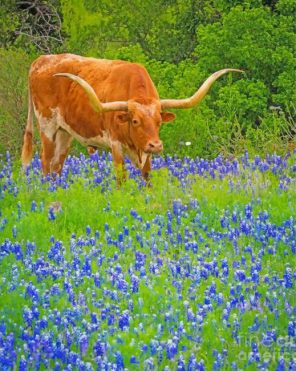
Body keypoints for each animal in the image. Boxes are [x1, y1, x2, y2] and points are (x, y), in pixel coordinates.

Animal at [21, 53, 243, 184]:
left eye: (159, 122)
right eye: (135, 121)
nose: (156, 145)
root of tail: (40, 60)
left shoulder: (145, 150)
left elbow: (146, 175)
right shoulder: (115, 144)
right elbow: (122, 177)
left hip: (65, 132)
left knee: (57, 166)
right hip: (47, 126)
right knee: (46, 161)